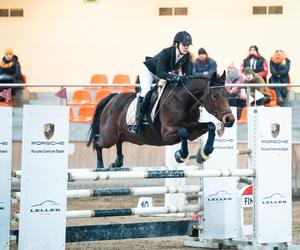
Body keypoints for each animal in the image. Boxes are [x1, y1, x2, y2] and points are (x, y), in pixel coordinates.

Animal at [88, 72, 236, 168]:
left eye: (227, 94)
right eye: (215, 95)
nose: (230, 120)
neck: (183, 102)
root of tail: (113, 98)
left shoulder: (193, 129)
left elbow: (210, 126)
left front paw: (204, 154)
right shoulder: (167, 134)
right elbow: (183, 132)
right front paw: (180, 155)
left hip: (122, 134)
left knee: (119, 141)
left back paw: (118, 162)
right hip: (109, 136)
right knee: (98, 141)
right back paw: (100, 166)